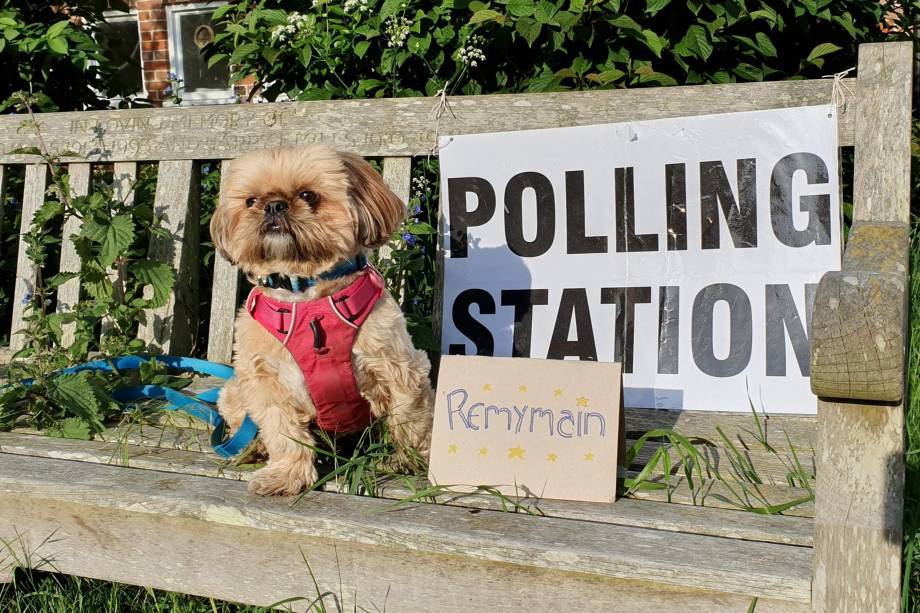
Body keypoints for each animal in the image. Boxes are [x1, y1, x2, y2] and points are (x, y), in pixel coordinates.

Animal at [212, 146, 434, 494]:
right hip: (235, 390)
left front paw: (411, 461)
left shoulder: (399, 368)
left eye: (308, 195)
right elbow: (284, 433)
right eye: (250, 201)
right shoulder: (266, 382)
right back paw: (252, 446)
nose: (273, 205)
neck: (307, 297)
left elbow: (409, 418)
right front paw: (286, 475)